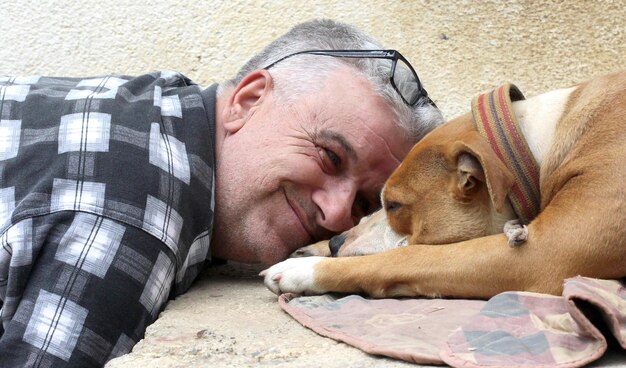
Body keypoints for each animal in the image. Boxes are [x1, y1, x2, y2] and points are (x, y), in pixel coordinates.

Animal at [260, 70, 624, 300]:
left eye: (394, 205)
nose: (335, 244)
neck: (535, 144)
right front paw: (318, 248)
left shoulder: (544, 251)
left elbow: (403, 259)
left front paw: (302, 269)